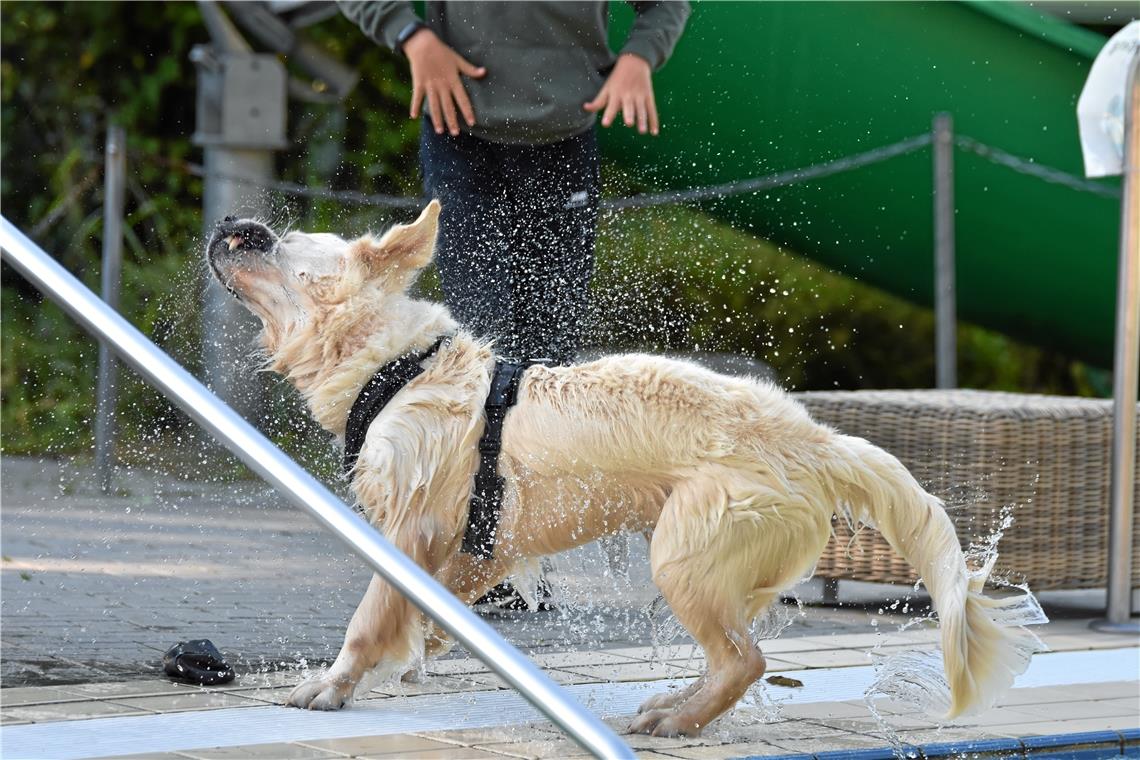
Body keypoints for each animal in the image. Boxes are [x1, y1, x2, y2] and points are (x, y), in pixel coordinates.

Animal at [207, 201, 1044, 738]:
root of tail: (813, 438)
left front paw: (330, 686)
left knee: (747, 659)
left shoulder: (408, 530)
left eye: (281, 243)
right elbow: (426, 617)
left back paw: (676, 718)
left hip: (680, 554)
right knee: (739, 654)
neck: (397, 368)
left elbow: (367, 619)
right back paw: (671, 706)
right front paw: (404, 664)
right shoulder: (485, 549)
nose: (224, 225)